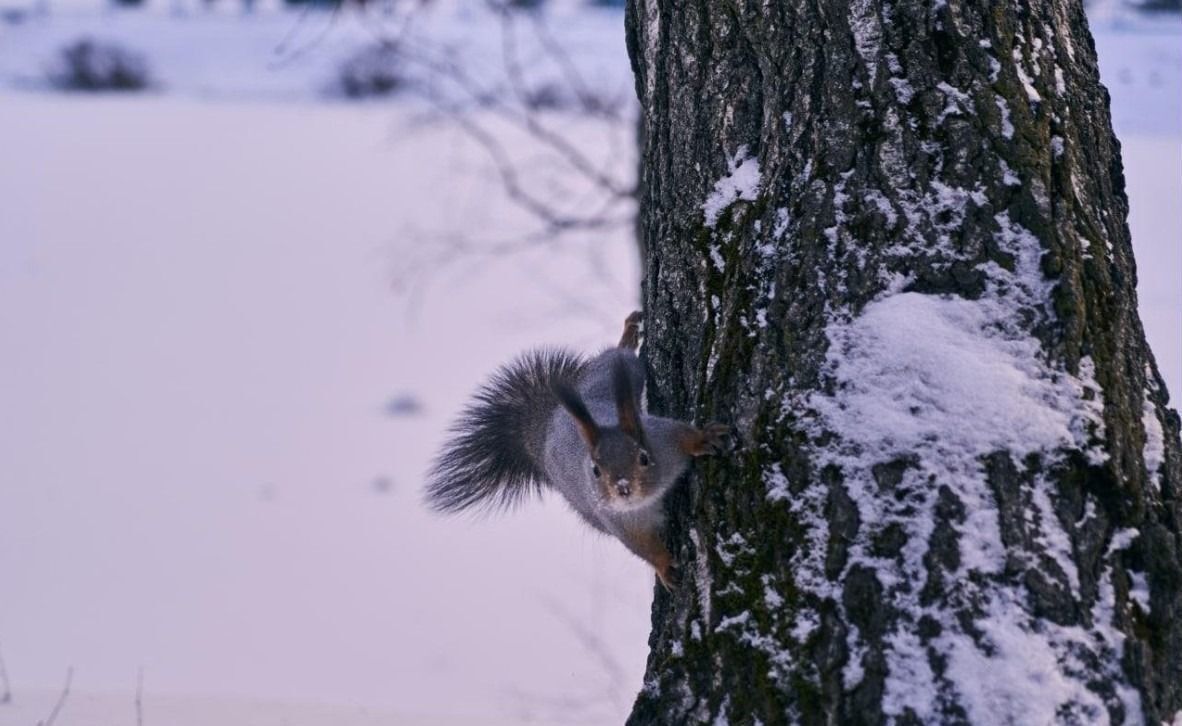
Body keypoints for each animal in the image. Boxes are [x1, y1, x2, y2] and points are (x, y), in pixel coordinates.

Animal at [425, 312, 728, 591]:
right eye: (595, 470)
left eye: (644, 458)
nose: (623, 488)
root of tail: (548, 426)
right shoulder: (619, 521)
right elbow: (642, 546)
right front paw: (664, 567)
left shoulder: (663, 439)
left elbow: (683, 435)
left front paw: (705, 439)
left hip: (612, 373)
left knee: (619, 355)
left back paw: (629, 334)